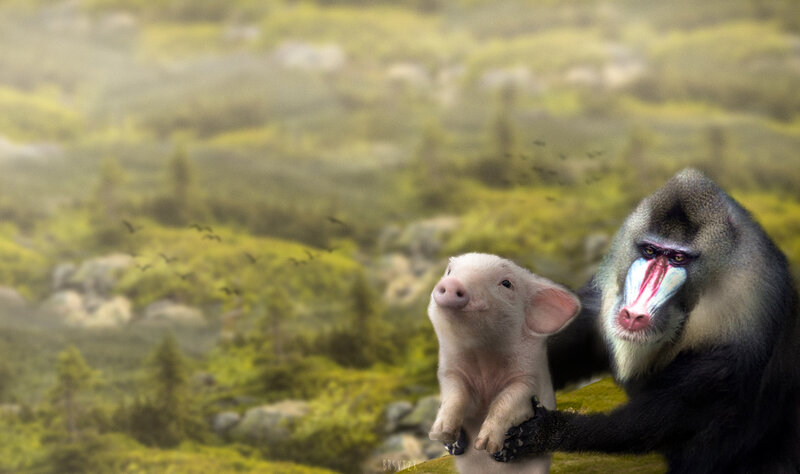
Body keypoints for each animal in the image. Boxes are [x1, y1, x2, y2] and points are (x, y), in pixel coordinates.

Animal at [427, 253, 580, 474]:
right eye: (449, 271)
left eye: (506, 283)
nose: (452, 283)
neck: (482, 358)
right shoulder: (450, 373)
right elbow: (455, 396)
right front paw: (441, 434)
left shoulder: (528, 380)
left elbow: (506, 401)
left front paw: (486, 446)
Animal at [493, 169, 800, 472]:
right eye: (650, 251)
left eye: (677, 258)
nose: (633, 314)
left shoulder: (739, 329)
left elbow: (664, 414)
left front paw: (547, 431)